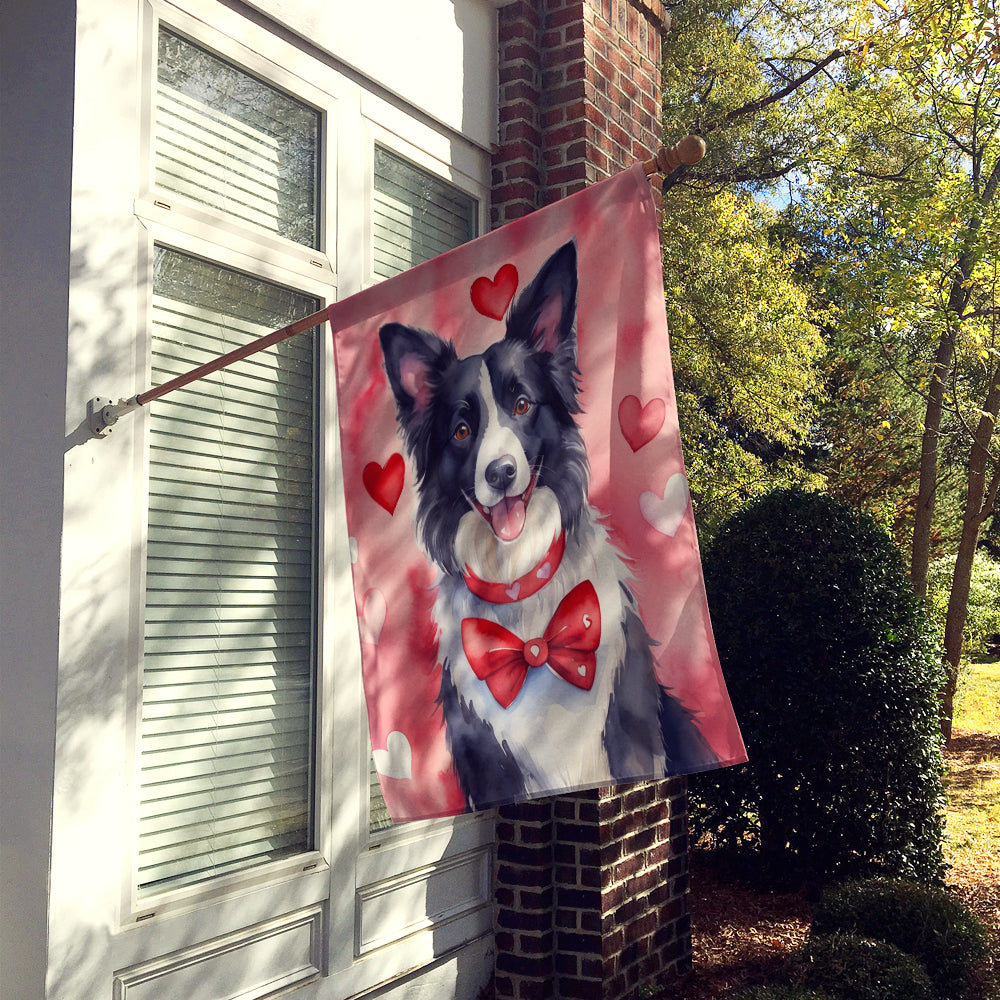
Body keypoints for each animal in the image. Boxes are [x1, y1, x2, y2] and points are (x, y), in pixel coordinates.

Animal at [378, 242, 716, 812]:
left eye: (522, 405)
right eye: (461, 431)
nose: (500, 473)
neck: (522, 597)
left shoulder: (630, 732)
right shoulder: (486, 760)